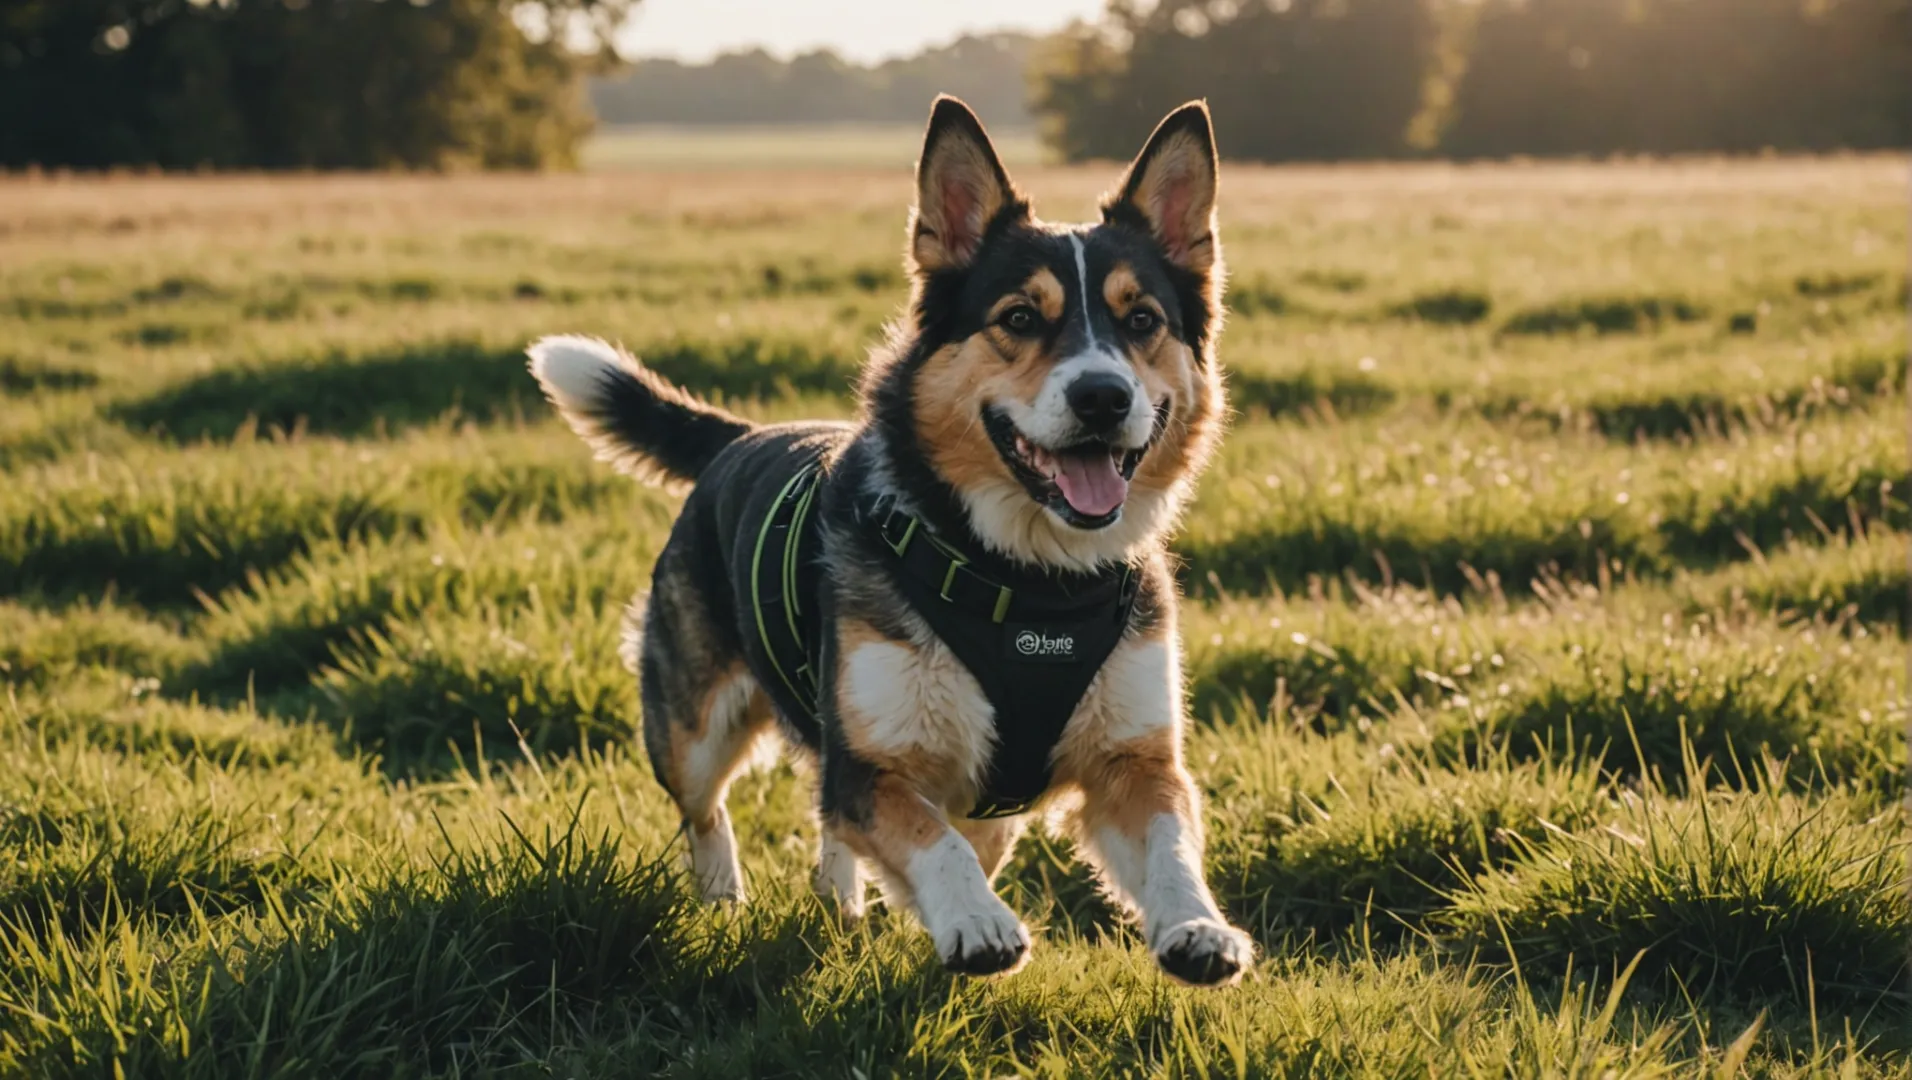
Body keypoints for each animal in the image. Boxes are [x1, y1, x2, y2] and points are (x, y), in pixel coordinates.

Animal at [527, 98, 1238, 986]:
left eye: (1142, 321)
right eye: (1018, 319)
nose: (1104, 397)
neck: (1029, 577)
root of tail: (744, 436)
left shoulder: (1133, 762)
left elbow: (1171, 842)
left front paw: (1198, 926)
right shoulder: (874, 766)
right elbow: (934, 842)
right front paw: (975, 922)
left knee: (853, 822)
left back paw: (840, 900)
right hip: (692, 724)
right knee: (708, 809)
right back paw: (724, 898)